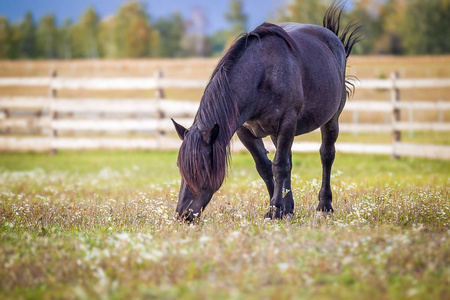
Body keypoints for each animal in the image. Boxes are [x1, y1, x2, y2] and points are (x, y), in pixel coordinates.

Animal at [171, 3, 360, 221]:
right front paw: (279, 209)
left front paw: (276, 210)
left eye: (202, 167)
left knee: (326, 156)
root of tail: (332, 37)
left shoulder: (287, 123)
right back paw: (290, 207)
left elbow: (279, 166)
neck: (262, 75)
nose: (183, 214)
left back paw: (324, 205)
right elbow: (266, 167)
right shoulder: (245, 131)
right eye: (180, 167)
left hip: (331, 120)